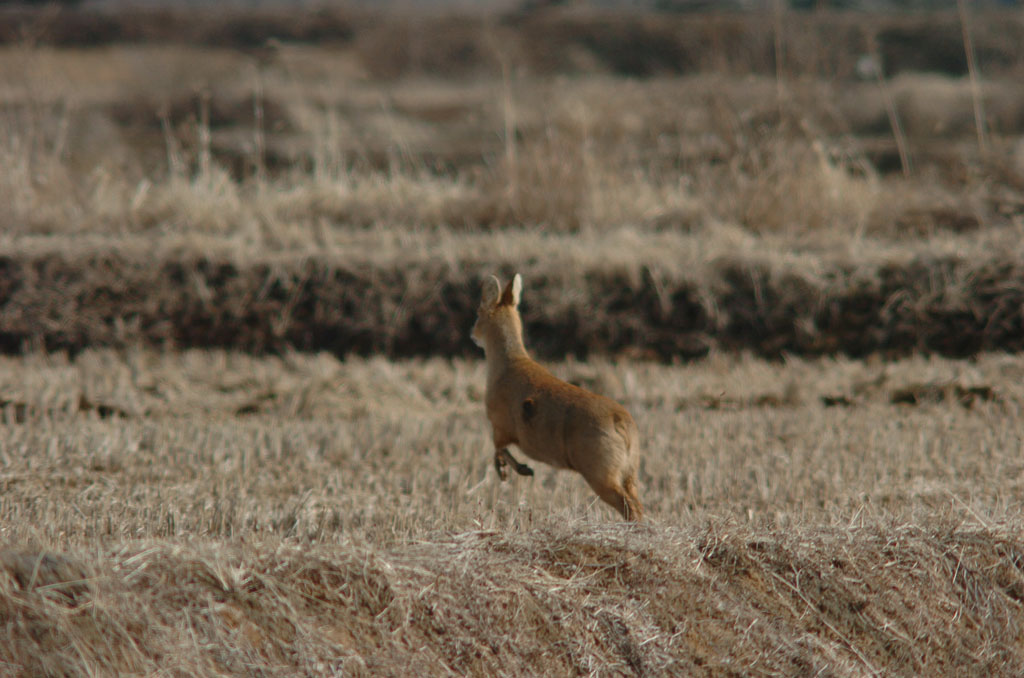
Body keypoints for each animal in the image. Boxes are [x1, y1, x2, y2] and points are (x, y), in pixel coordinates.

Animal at [471, 273, 643, 521]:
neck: (509, 362)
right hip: (630, 472)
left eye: (478, 312)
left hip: (601, 475)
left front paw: (515, 471)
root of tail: (623, 423)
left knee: (630, 508)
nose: (472, 334)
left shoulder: (499, 426)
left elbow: (498, 450)